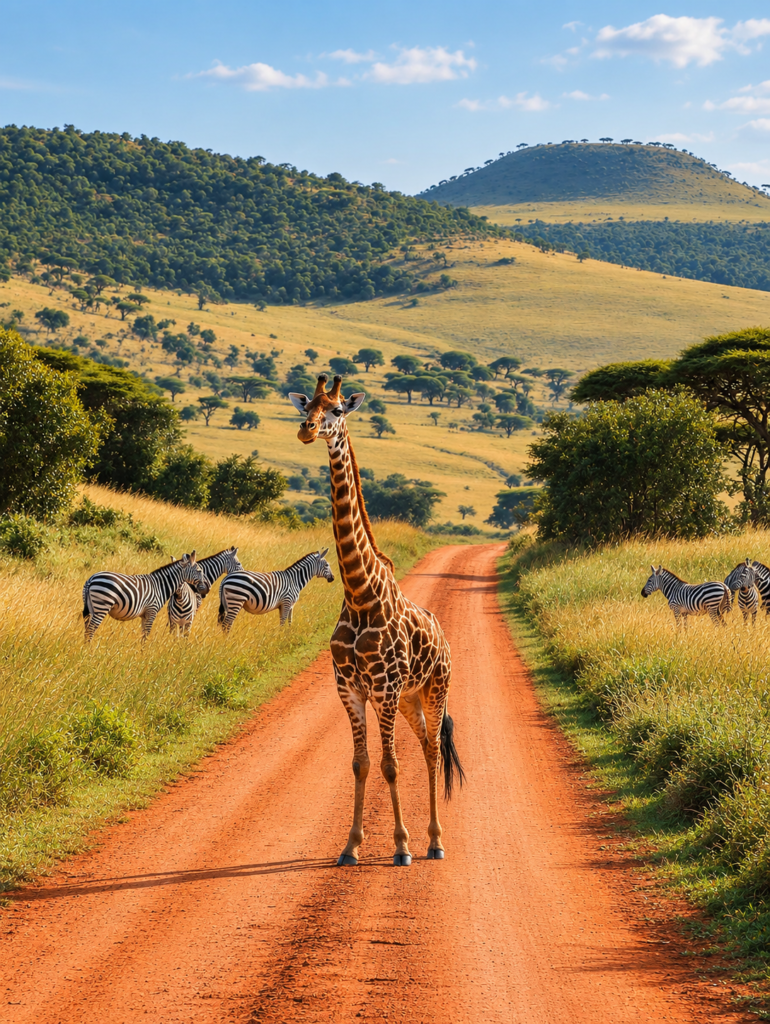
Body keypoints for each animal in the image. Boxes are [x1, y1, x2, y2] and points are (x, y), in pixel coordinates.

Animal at [289, 374, 464, 866]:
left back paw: (434, 841)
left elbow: (390, 764)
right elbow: (362, 763)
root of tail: (444, 636)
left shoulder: (382, 688)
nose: (307, 430)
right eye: (307, 405)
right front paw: (350, 846)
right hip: (409, 698)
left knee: (431, 751)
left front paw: (401, 847)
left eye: (337, 411)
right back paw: (428, 838)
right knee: (424, 743)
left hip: (435, 688)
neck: (358, 592)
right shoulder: (350, 689)